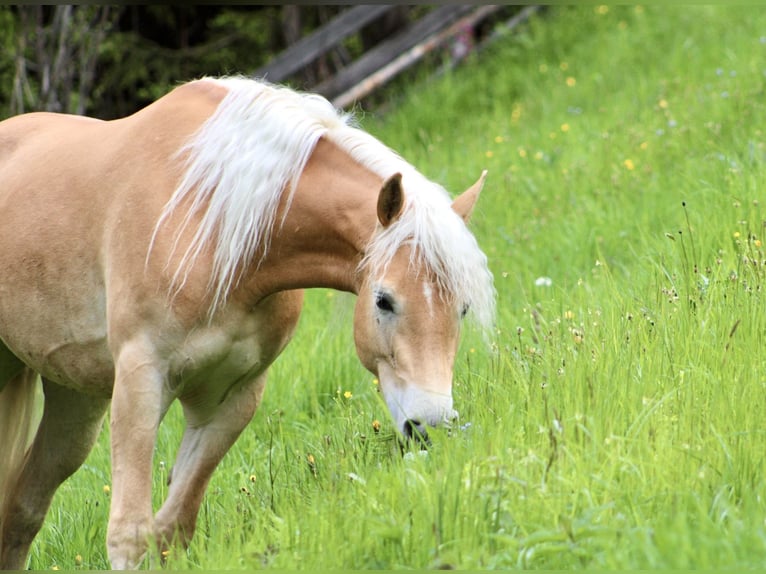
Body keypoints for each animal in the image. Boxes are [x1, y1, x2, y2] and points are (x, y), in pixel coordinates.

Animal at [0, 76, 496, 572]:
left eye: (462, 309)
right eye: (384, 300)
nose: (431, 425)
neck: (213, 222)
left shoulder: (232, 396)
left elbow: (172, 527)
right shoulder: (142, 381)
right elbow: (129, 535)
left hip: (76, 400)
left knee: (23, 510)